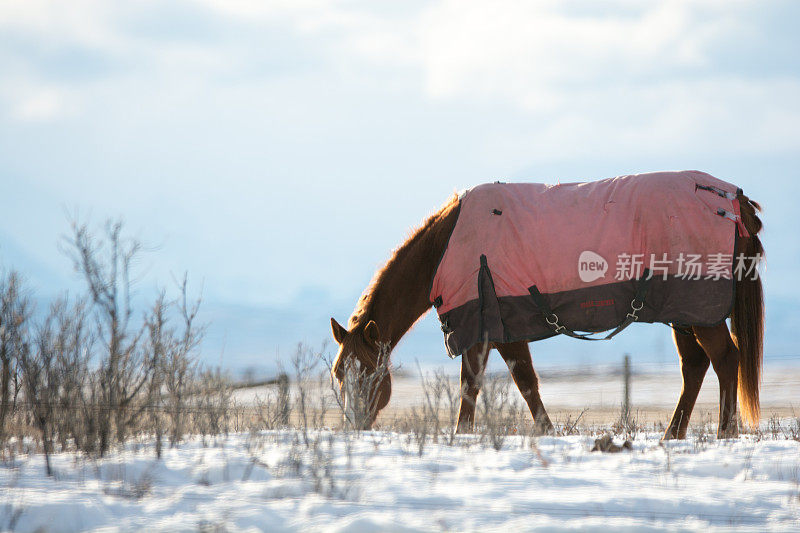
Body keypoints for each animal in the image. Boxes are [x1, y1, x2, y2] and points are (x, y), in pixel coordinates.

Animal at [330, 170, 764, 436]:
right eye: (338, 375)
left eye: (369, 373)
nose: (354, 426)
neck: (448, 247)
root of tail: (734, 200)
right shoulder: (488, 329)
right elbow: (491, 385)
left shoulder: (494, 328)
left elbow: (508, 384)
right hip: (684, 311)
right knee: (695, 367)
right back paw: (672, 436)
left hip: (702, 312)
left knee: (725, 360)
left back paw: (724, 433)